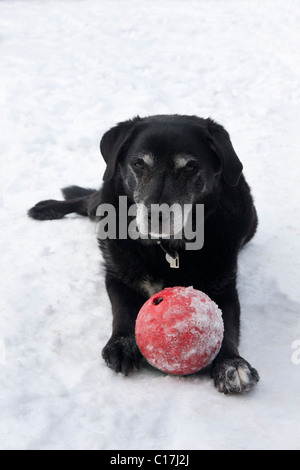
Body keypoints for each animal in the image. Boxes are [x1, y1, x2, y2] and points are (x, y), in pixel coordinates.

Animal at [29, 114, 262, 392]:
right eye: (139, 163)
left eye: (190, 167)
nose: (155, 215)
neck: (166, 248)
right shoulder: (117, 276)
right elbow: (123, 311)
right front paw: (122, 344)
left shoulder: (224, 288)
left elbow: (227, 328)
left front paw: (231, 364)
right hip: (102, 201)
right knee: (86, 200)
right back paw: (46, 208)